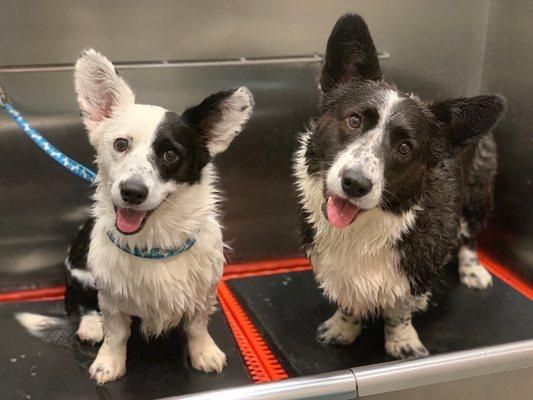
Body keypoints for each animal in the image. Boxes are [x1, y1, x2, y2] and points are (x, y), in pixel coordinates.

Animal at [16, 50, 254, 384]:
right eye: (120, 144)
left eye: (171, 154)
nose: (132, 192)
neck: (154, 241)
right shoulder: (112, 299)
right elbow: (116, 334)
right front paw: (109, 363)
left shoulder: (201, 291)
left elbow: (197, 326)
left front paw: (204, 352)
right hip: (81, 275)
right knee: (80, 304)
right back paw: (91, 326)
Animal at [294, 14, 504, 360]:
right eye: (354, 120)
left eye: (405, 147)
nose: (355, 184)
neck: (363, 228)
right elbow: (349, 302)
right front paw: (342, 329)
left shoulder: (417, 272)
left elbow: (400, 310)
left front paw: (402, 343)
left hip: (478, 192)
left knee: (470, 237)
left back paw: (472, 270)